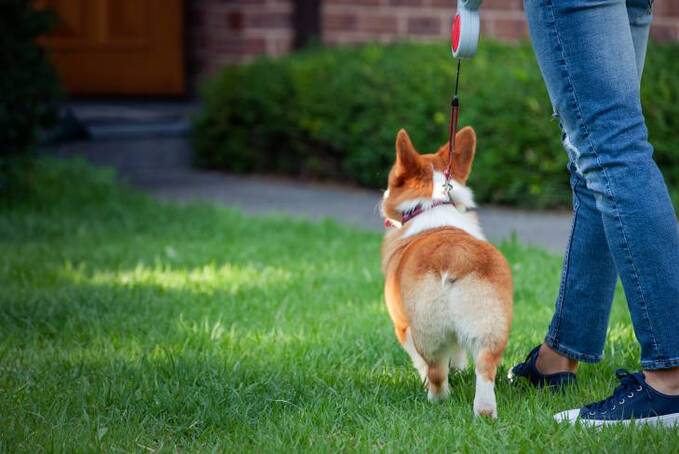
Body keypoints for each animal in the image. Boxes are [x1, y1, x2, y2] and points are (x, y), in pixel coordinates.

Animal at [380, 127, 512, 418]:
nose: (382, 195)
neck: (431, 206)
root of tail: (456, 257)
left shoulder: (402, 327)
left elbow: (420, 362)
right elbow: (460, 353)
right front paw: (460, 371)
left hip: (427, 331)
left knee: (436, 371)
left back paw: (436, 399)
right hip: (491, 325)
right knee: (485, 369)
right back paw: (485, 412)